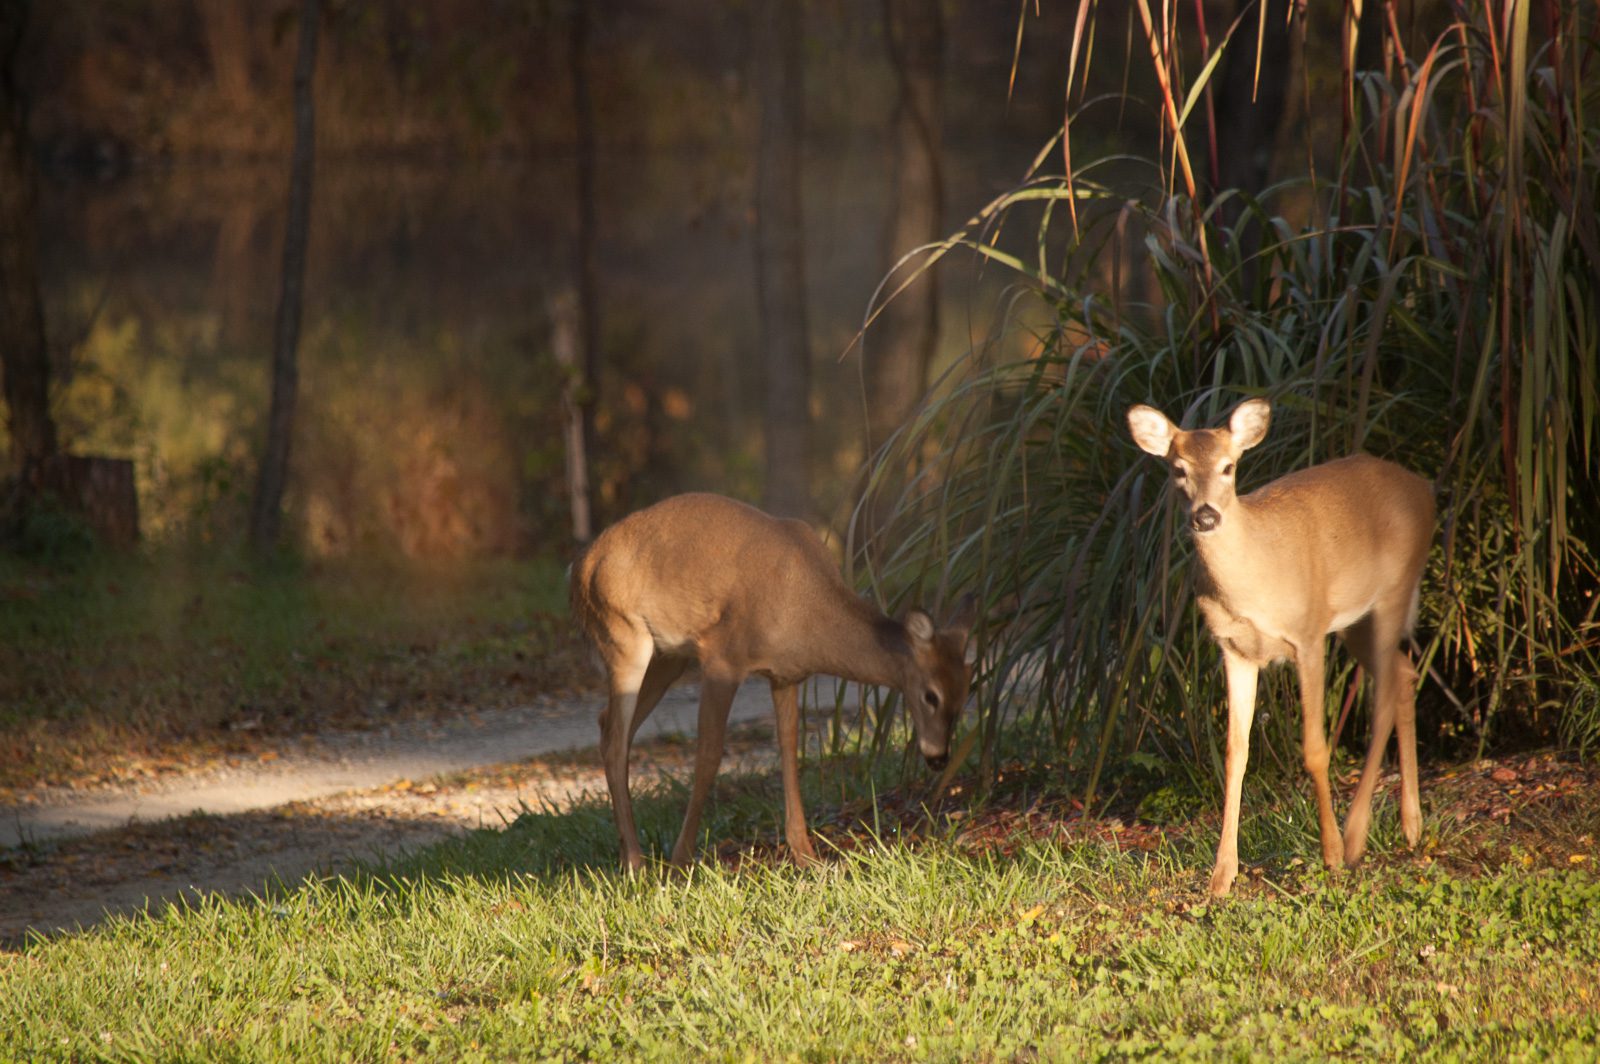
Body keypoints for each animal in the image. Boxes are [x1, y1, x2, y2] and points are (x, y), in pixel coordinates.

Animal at [569, 492, 977, 872]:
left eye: (965, 695)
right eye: (931, 696)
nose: (939, 757)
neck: (806, 611)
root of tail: (579, 567)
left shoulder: (785, 676)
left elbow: (789, 750)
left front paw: (807, 856)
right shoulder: (722, 657)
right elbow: (709, 755)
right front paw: (681, 860)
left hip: (669, 658)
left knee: (608, 726)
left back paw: (629, 856)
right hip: (623, 636)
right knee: (616, 739)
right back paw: (636, 863)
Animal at [1127, 398, 1434, 896]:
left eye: (1229, 466)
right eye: (1178, 468)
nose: (1206, 515)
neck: (1251, 580)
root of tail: (1424, 487)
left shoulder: (1307, 635)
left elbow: (1314, 748)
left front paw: (1330, 855)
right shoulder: (1233, 648)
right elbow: (1235, 754)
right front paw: (1222, 875)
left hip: (1394, 590)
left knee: (1387, 691)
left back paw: (1355, 836)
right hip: (1354, 620)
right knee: (1403, 673)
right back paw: (1411, 825)